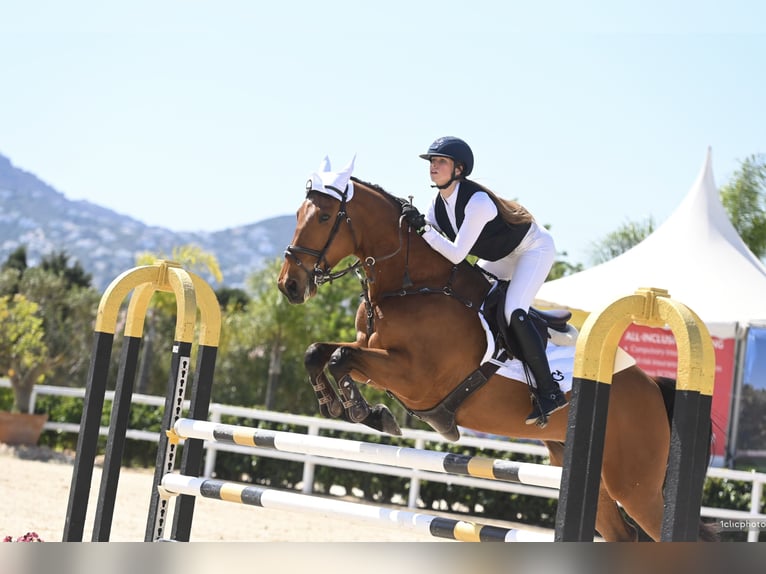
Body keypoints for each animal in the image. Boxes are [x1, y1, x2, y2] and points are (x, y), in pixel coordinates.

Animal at [278, 163, 720, 544]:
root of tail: (650, 385)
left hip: (635, 485)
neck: (410, 285)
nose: (289, 285)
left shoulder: (414, 377)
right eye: (298, 213)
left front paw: (365, 413)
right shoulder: (374, 354)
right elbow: (320, 353)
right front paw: (336, 405)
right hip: (590, 474)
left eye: (323, 217)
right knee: (621, 535)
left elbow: (340, 359)